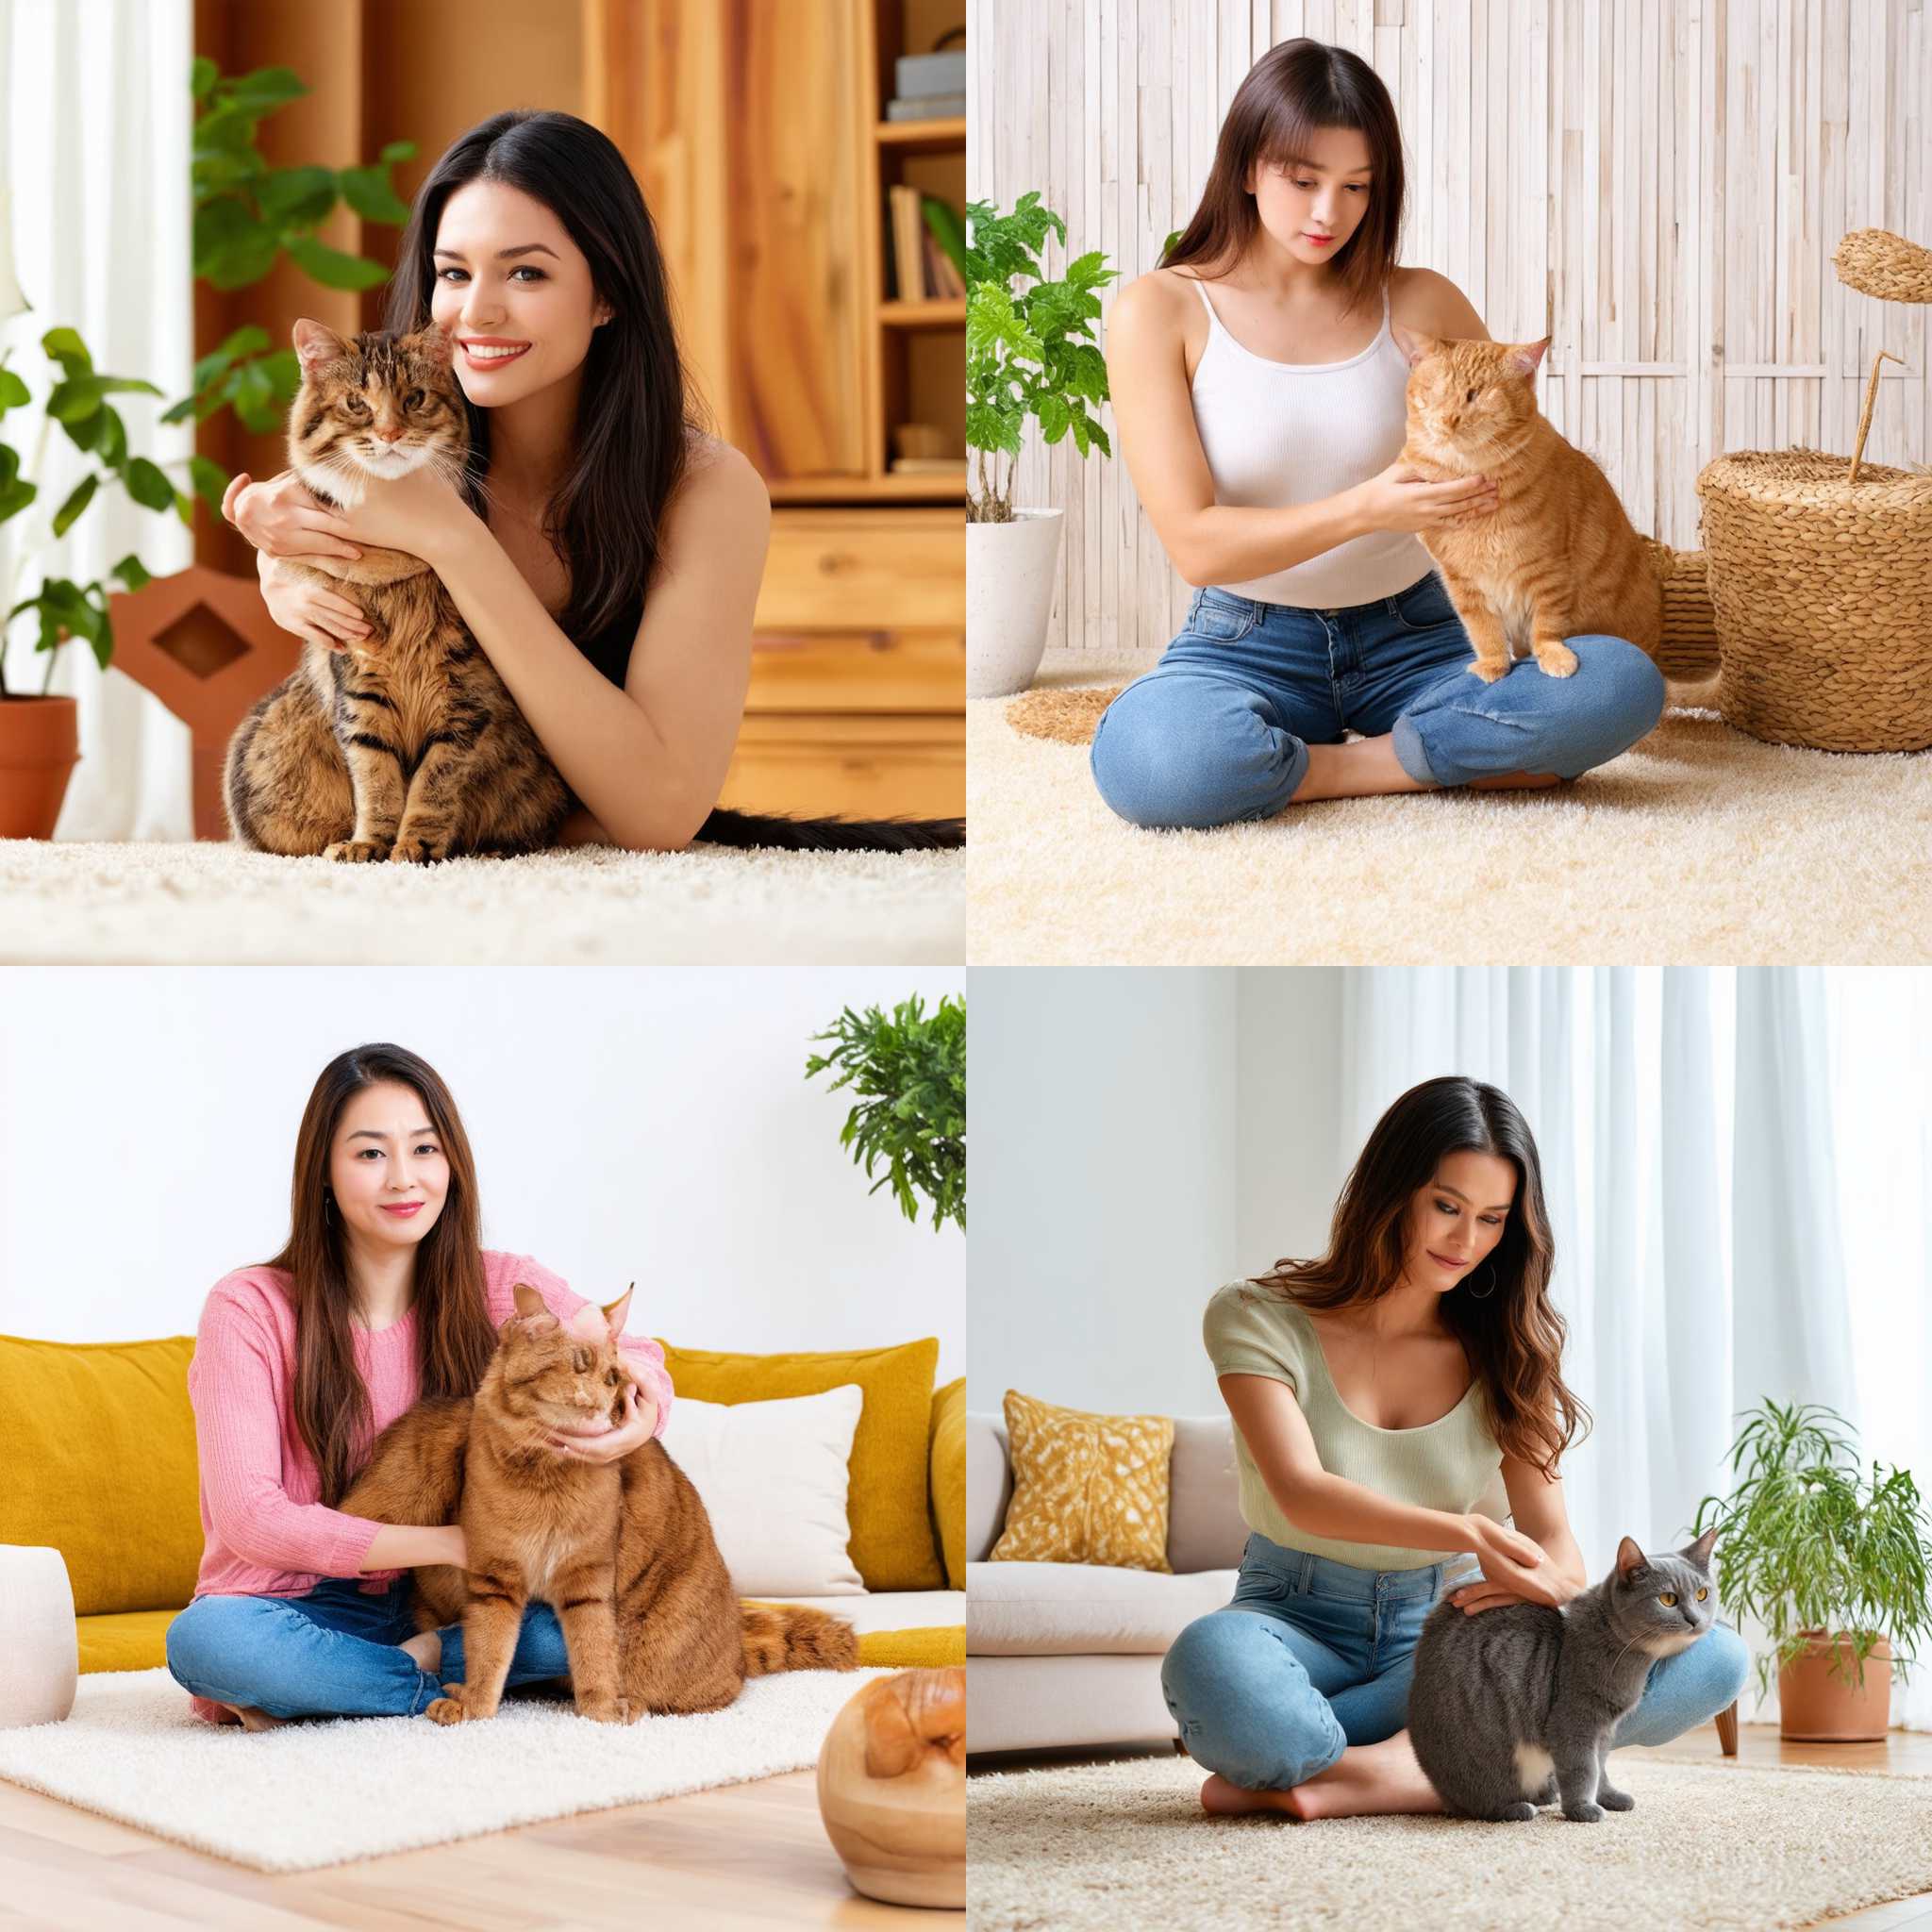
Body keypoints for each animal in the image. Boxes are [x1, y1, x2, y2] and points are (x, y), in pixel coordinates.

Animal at [225, 320, 568, 865]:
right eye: (356, 403)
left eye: (415, 398)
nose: (389, 434)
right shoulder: (361, 690)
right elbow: (377, 780)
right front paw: (371, 844)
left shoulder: (463, 699)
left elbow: (433, 785)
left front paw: (416, 846)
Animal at [341, 1282, 861, 1723]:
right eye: (577, 1364)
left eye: (613, 1378)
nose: (599, 1403)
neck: (545, 1481)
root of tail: (737, 1648)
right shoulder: (495, 1577)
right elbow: (488, 1652)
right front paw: (475, 1705)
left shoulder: (588, 1576)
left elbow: (593, 1651)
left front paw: (601, 1711)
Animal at [1391, 330, 1661, 688]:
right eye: (1436, 392)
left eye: (1475, 394)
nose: (1449, 419)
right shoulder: (1461, 581)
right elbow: (1482, 629)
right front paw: (1493, 664)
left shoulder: (1549, 569)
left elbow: (1546, 625)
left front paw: (1553, 655)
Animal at [1406, 1530, 1723, 1816]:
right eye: (1668, 1599)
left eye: (1702, 1594)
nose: (1695, 1619)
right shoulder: (1573, 1719)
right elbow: (1583, 1768)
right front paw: (1582, 1809)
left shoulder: (1605, 1729)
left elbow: (1601, 1766)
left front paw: (1609, 1798)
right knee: (1481, 1802)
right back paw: (1518, 1808)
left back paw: (1547, 1794)